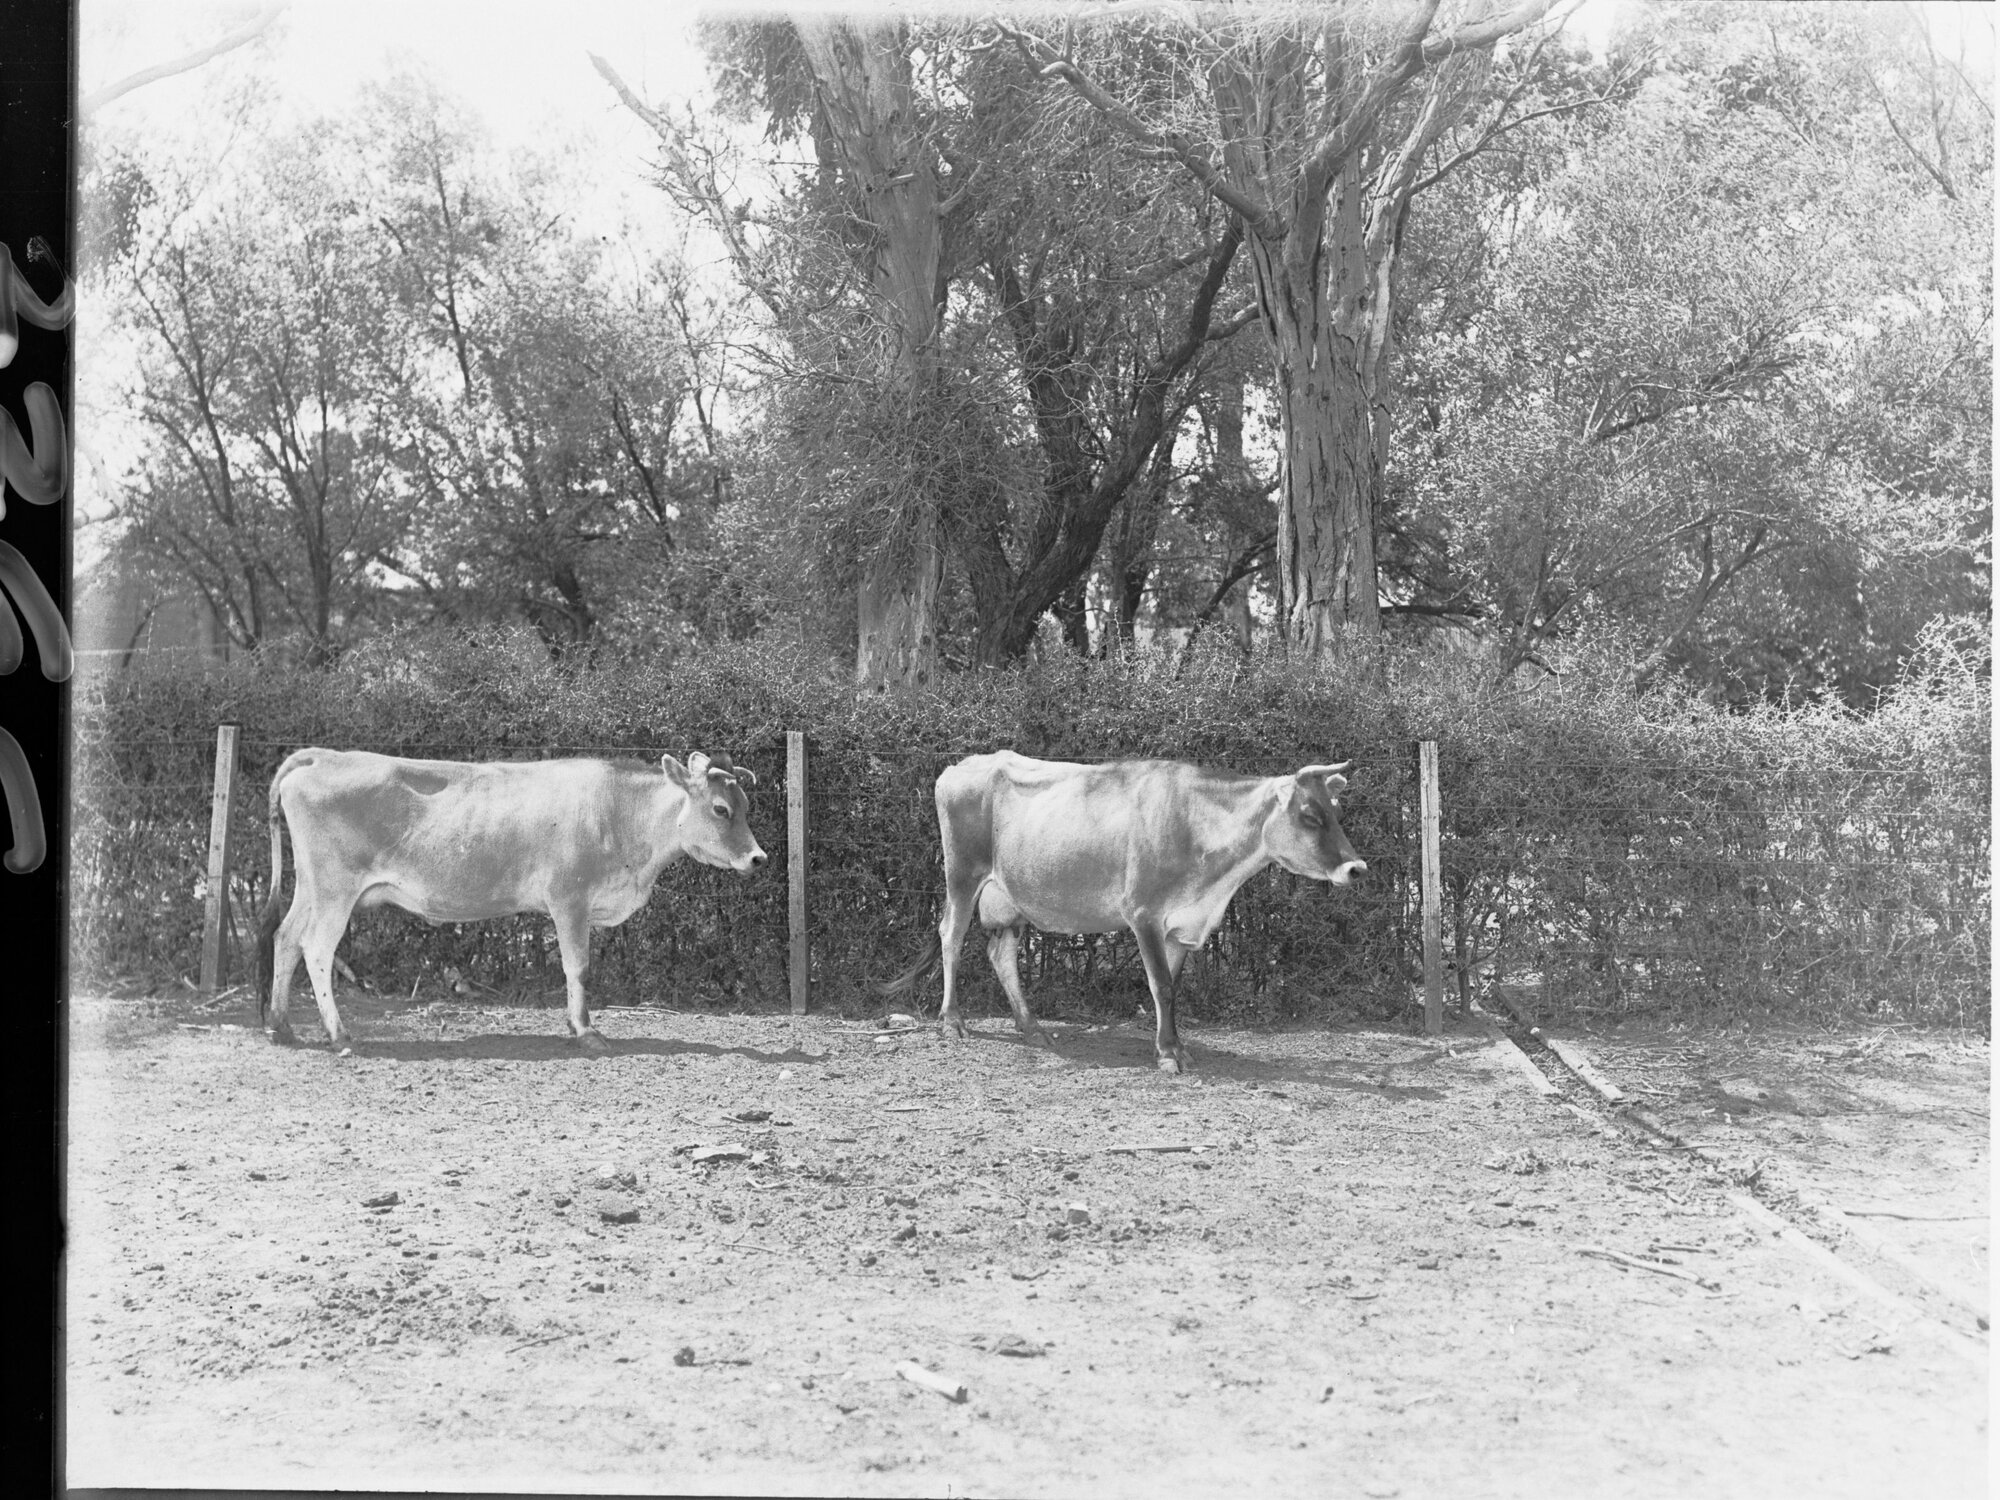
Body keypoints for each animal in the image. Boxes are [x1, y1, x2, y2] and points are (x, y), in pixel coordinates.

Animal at [253, 748, 766, 1054]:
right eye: (721, 809)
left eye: (746, 808)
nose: (759, 858)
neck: (616, 812)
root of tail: (323, 756)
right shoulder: (569, 900)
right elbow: (578, 967)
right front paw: (586, 1031)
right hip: (334, 889)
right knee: (317, 949)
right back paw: (339, 1034)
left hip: (312, 886)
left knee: (286, 938)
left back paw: (281, 1025)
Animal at [880, 751, 1366, 1073]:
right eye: (1310, 814)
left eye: (1338, 811)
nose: (1357, 868)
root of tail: (962, 764)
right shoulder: (1143, 912)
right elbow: (1161, 986)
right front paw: (1169, 1054)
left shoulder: (1180, 925)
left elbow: (1172, 985)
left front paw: (1172, 1045)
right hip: (962, 875)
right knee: (951, 936)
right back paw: (952, 1021)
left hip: (1009, 897)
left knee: (1000, 955)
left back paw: (1032, 1027)